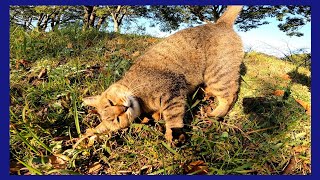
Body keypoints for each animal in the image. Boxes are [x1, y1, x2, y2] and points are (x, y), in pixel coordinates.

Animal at [79, 5, 244, 146]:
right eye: (117, 119)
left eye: (110, 102)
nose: (124, 108)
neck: (142, 101)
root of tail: (220, 23)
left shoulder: (172, 90)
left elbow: (173, 116)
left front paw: (172, 134)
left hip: (217, 74)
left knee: (231, 95)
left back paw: (215, 113)